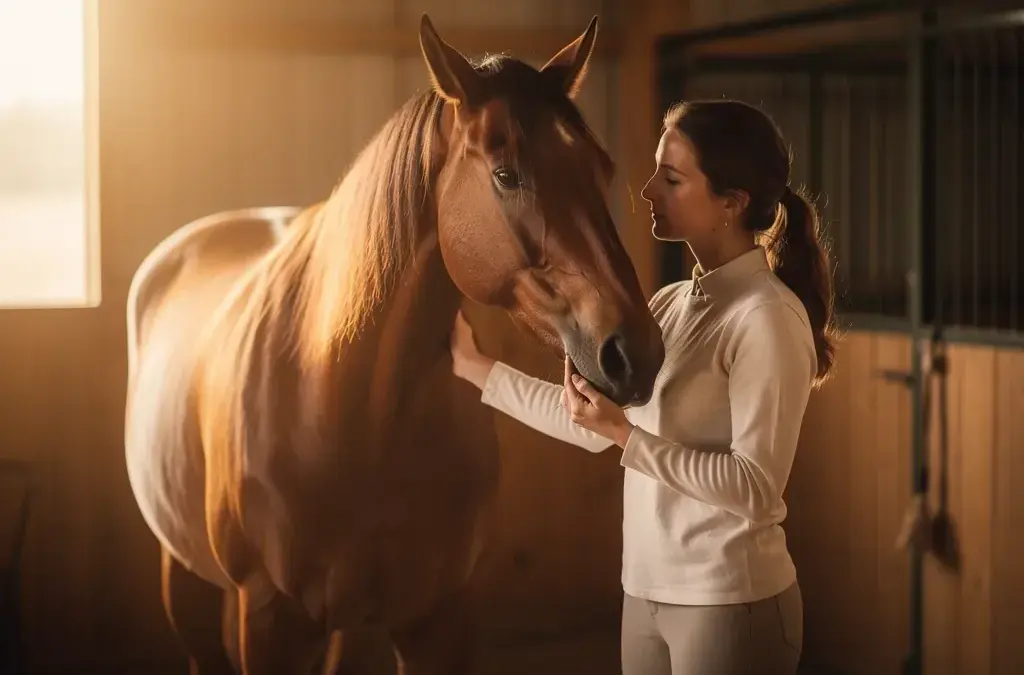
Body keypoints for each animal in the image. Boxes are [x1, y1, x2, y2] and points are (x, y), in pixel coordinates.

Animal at [123, 14, 665, 675]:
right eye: (506, 174)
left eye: (602, 168)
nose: (635, 353)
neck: (343, 402)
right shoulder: (272, 619)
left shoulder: (438, 620)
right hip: (186, 576)